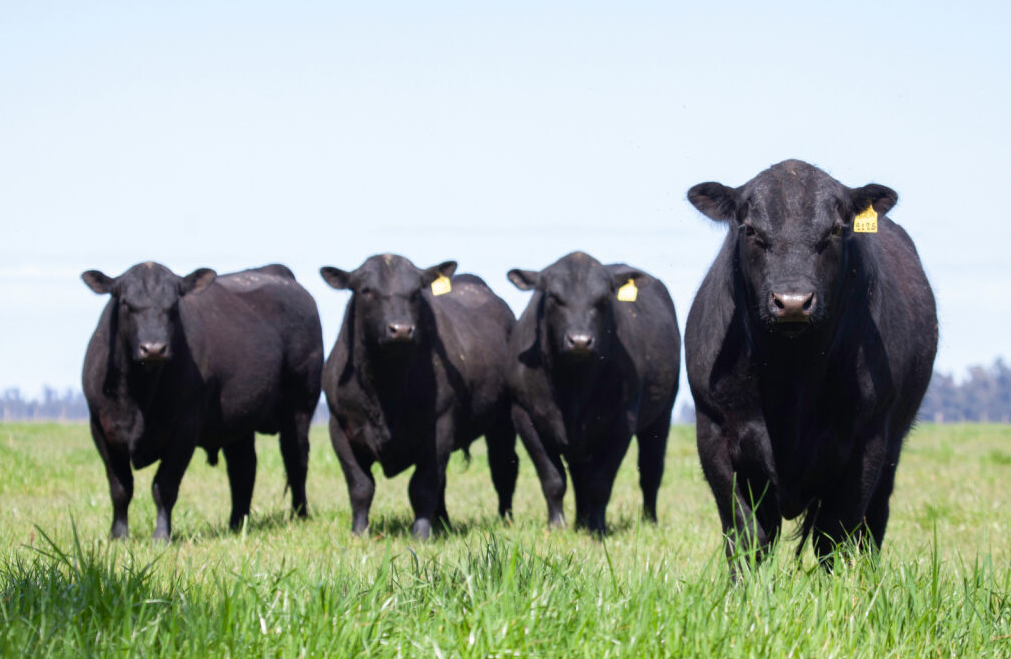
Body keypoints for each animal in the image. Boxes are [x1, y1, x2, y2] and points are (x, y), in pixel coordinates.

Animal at [81, 262, 323, 541]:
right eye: (125, 303)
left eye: (173, 304)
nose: (153, 348)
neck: (139, 394)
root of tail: (277, 272)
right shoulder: (101, 428)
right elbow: (120, 487)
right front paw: (118, 536)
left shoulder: (185, 427)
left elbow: (164, 486)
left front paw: (161, 536)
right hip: (239, 419)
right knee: (243, 468)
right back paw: (236, 523)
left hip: (300, 406)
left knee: (295, 458)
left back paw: (299, 515)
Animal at [320, 254, 518, 539]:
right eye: (366, 290)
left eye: (416, 292)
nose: (401, 329)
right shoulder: (339, 428)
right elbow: (360, 485)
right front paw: (359, 532)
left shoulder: (440, 427)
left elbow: (422, 486)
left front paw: (421, 534)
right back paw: (443, 522)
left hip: (504, 419)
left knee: (504, 467)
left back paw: (504, 519)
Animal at [506, 251, 681, 534]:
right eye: (554, 296)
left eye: (603, 299)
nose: (579, 341)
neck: (573, 383)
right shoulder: (523, 415)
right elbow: (553, 478)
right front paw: (557, 526)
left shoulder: (623, 421)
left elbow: (600, 482)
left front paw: (597, 529)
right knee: (579, 475)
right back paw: (579, 520)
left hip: (662, 414)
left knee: (651, 471)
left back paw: (649, 521)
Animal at [684, 159, 937, 570]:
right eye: (750, 229)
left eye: (835, 229)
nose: (792, 302)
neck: (790, 370)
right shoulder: (715, 434)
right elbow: (746, 534)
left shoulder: (866, 443)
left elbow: (834, 536)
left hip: (892, 449)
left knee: (873, 524)